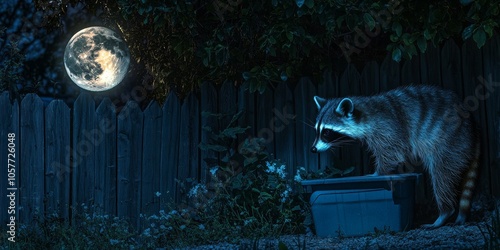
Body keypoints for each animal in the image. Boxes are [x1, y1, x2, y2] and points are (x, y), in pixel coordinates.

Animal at [312, 84, 480, 229]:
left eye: (326, 132)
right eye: (316, 131)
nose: (313, 149)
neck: (364, 112)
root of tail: (472, 127)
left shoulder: (388, 127)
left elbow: (392, 152)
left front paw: (378, 173)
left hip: (449, 141)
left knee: (442, 175)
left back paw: (445, 211)